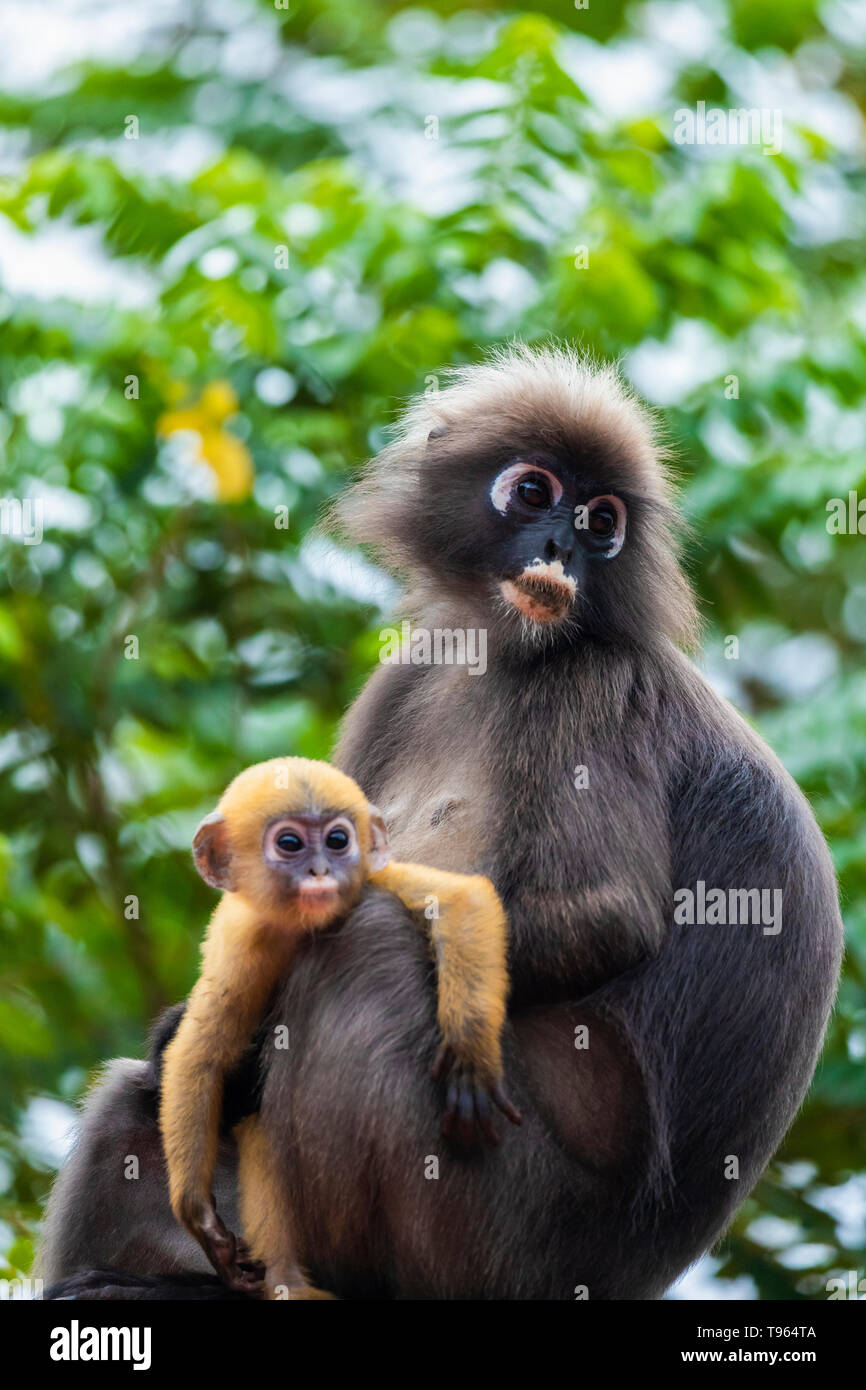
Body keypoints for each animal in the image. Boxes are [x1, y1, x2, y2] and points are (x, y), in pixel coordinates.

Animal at [157, 756, 522, 1295]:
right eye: (290, 843)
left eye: (337, 840)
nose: (321, 871)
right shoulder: (245, 939)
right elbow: (201, 1053)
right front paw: (200, 1218)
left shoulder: (370, 883)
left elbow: (463, 899)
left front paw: (469, 1055)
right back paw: (288, 1281)